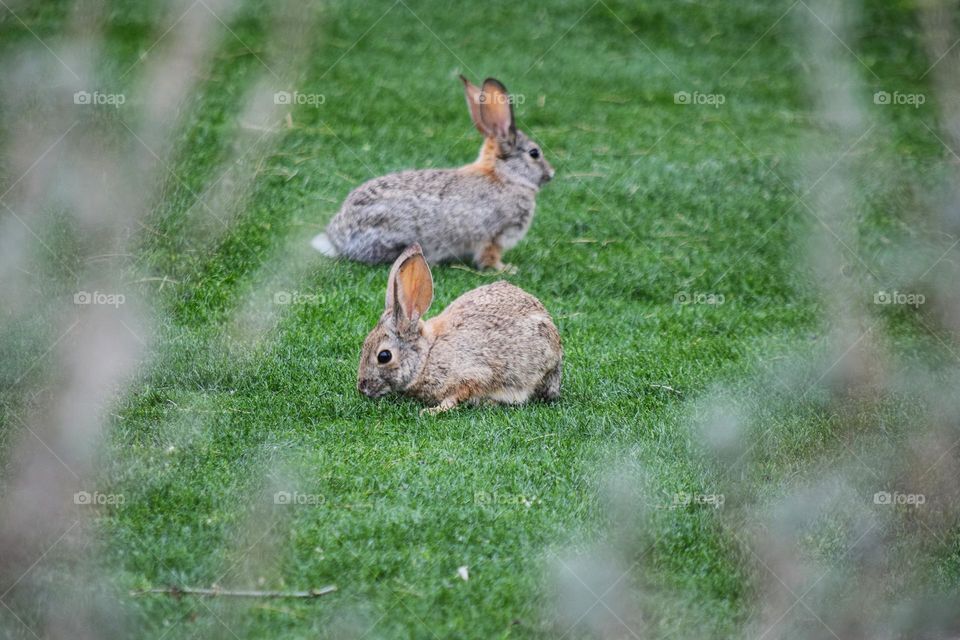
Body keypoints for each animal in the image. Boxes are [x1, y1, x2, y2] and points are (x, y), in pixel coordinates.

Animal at [312, 75, 555, 271]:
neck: (505, 176)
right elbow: (488, 256)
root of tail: (336, 239)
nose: (551, 174)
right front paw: (506, 269)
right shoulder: (494, 235)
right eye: (534, 153)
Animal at [357, 244, 562, 414]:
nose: (362, 387)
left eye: (384, 356)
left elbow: (457, 395)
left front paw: (432, 411)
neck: (427, 356)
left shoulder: (473, 375)